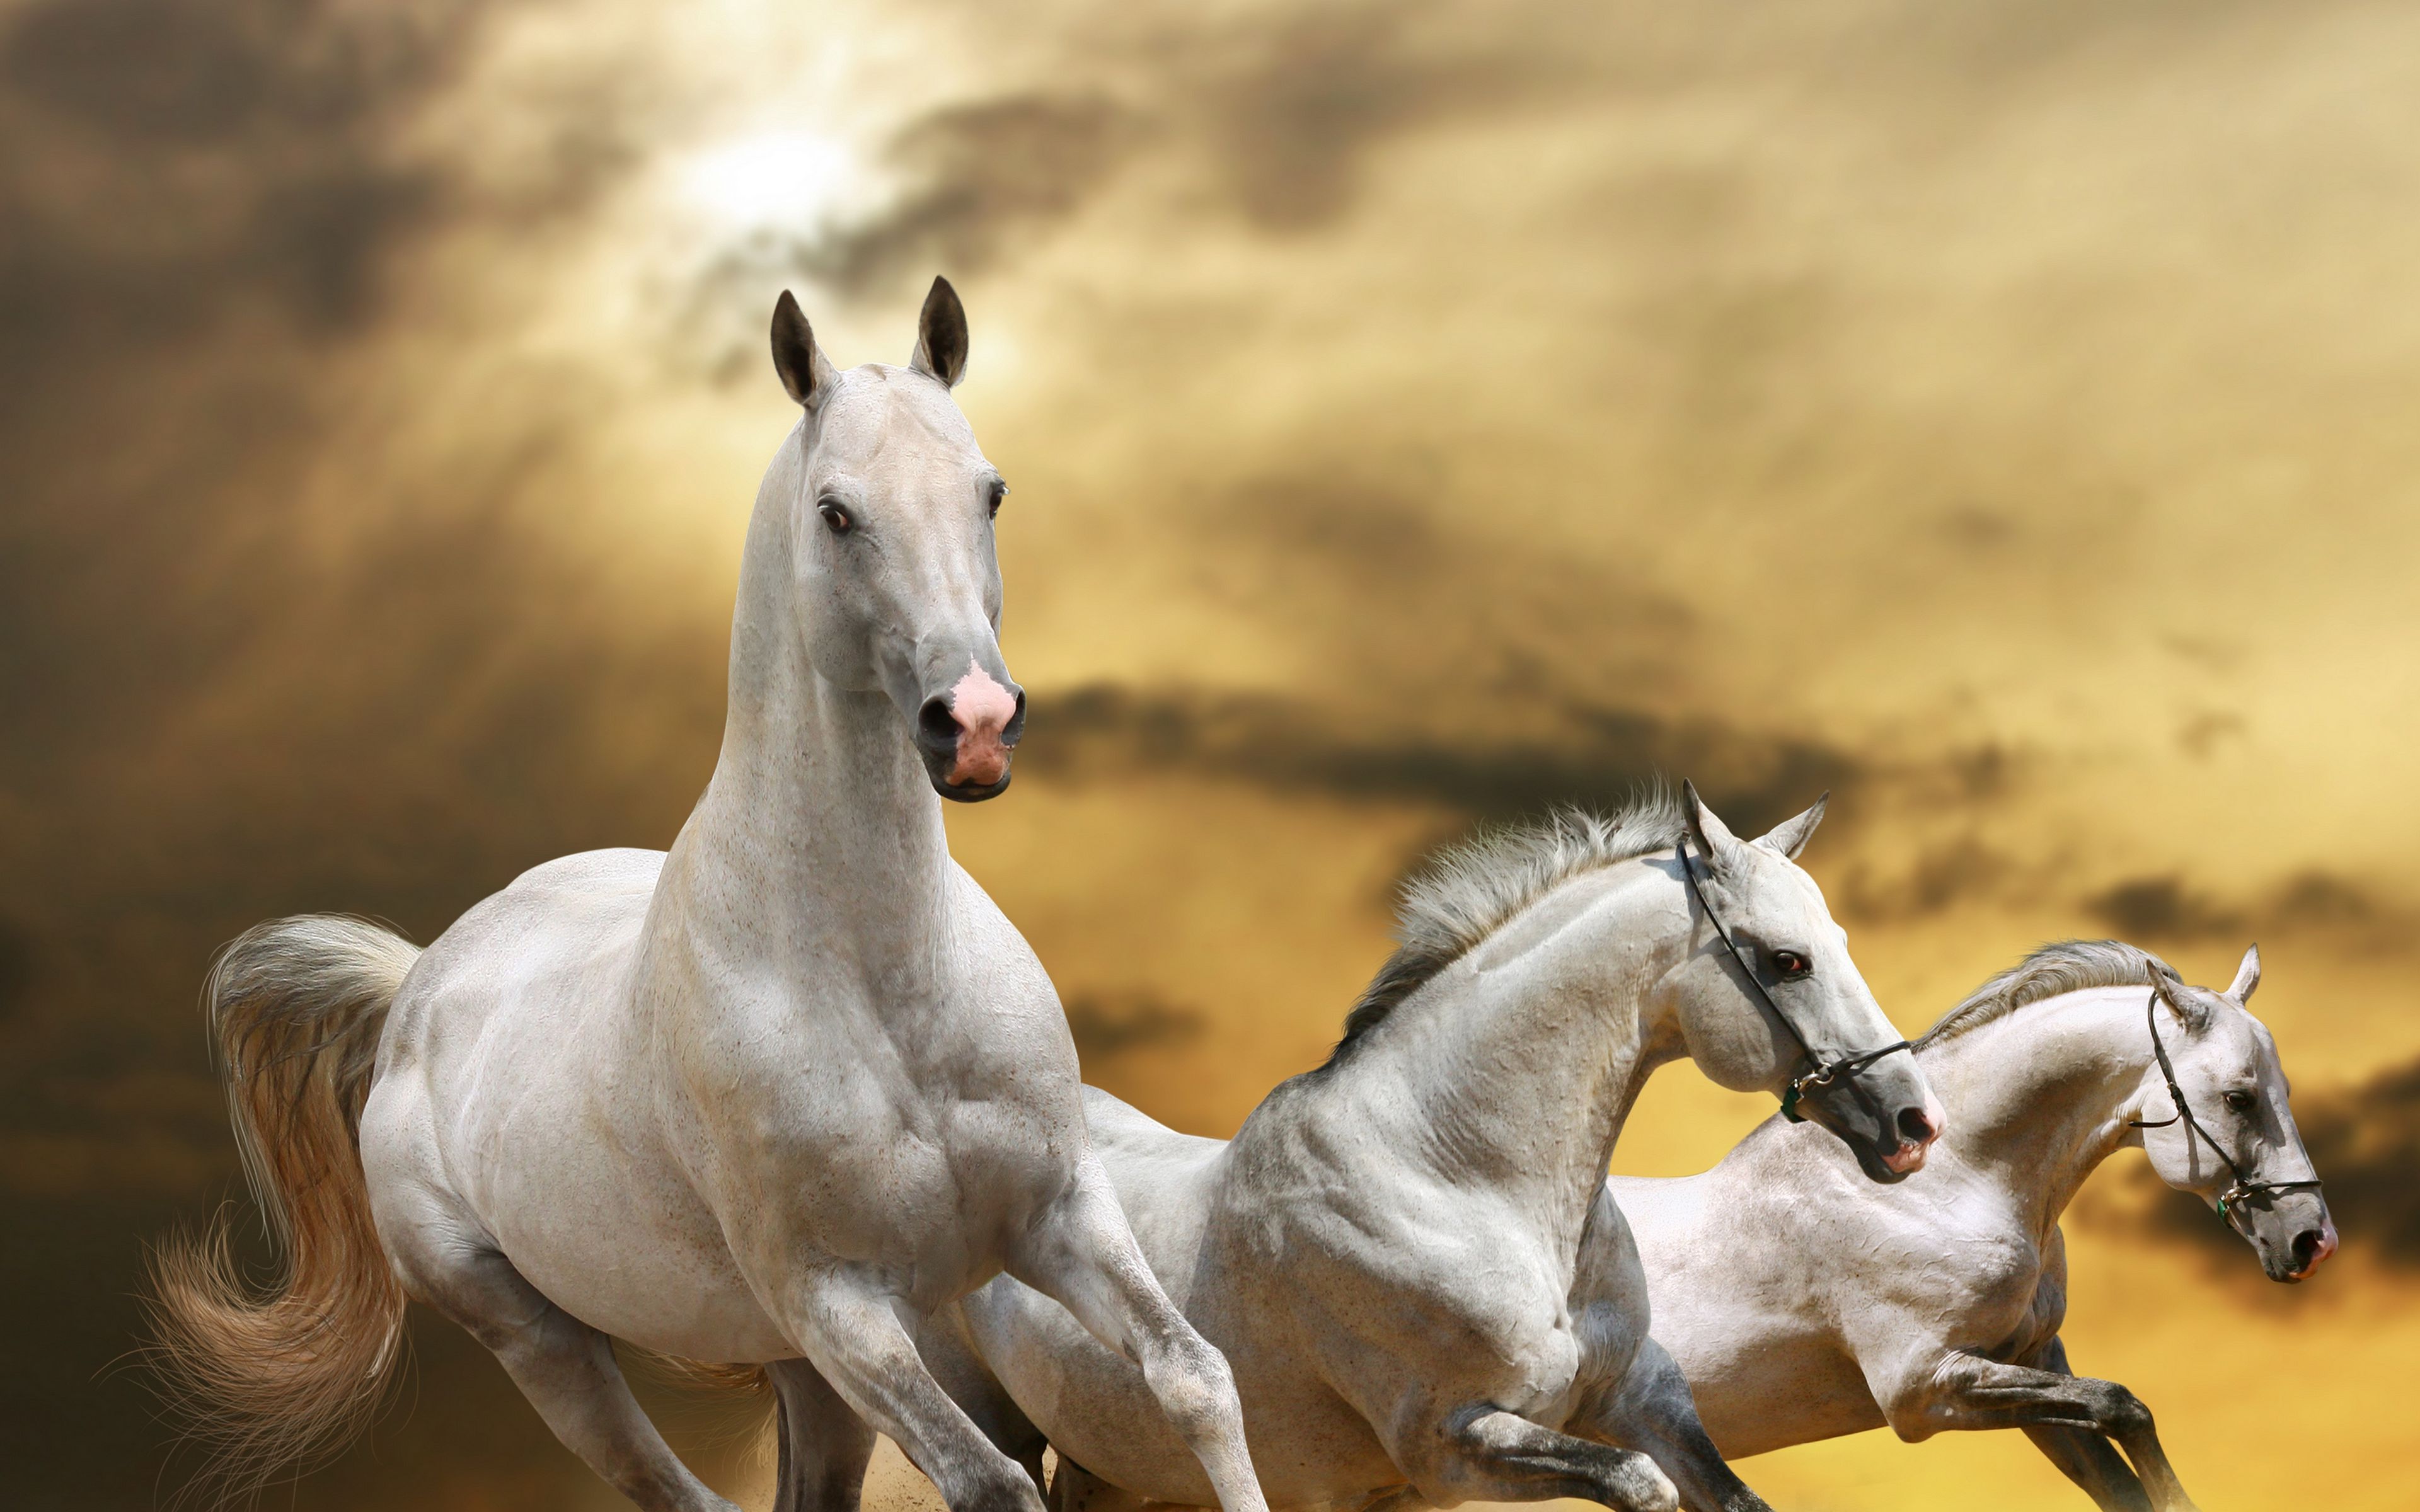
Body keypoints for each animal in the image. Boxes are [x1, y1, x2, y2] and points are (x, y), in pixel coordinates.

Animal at [149, 280, 1272, 1512]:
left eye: (991, 491)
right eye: (836, 513)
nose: (973, 724)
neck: (884, 988)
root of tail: (417, 988)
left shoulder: (1059, 1217)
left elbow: (1195, 1379)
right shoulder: (838, 1304)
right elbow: (994, 1483)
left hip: (802, 1375)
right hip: (552, 1343)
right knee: (672, 1489)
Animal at [911, 785, 1944, 1512]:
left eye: (1837, 937)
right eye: (1786, 960)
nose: (1913, 1123)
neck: (1456, 1178)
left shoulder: (1642, 1397)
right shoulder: (1451, 1443)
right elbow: (1638, 1485)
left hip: (1118, 1473)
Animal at [1607, 939, 2337, 1512]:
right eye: (2239, 1098)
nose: (2314, 1242)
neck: (1946, 1186)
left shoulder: (2028, 1365)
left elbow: (2117, 1455)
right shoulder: (1925, 1388)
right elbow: (2123, 1404)